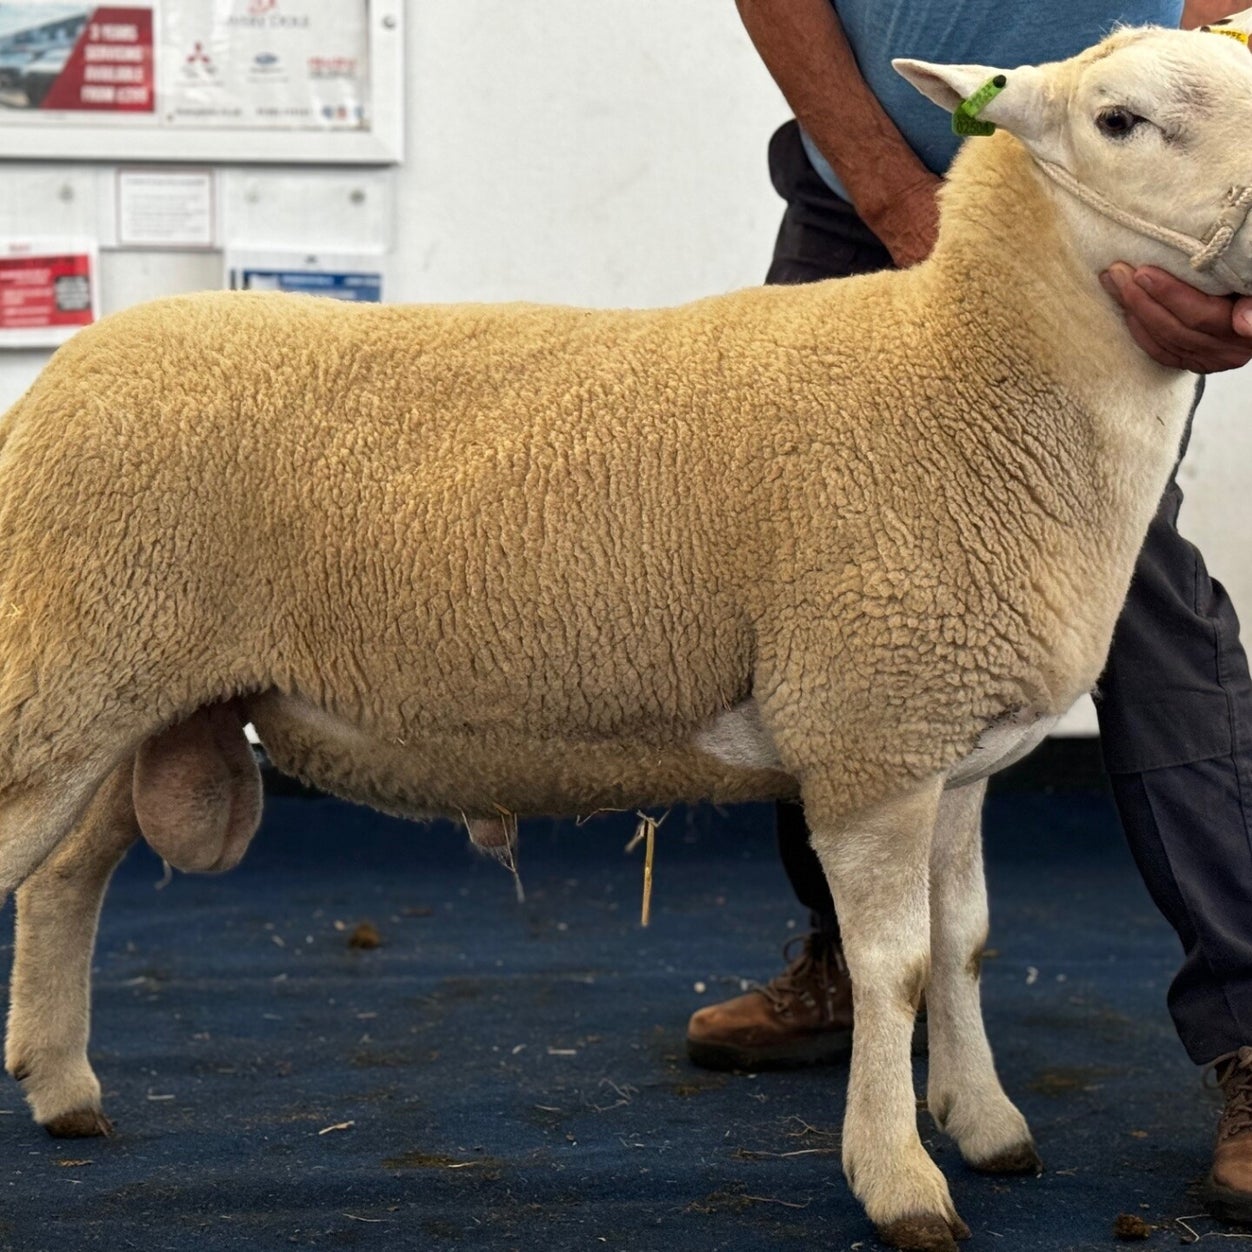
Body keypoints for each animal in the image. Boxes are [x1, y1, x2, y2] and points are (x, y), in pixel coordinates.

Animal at [3, 21, 1252, 1250]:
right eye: (1119, 120)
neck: (963, 373)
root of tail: (73, 366)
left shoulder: (954, 749)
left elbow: (965, 943)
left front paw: (984, 1122)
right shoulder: (872, 728)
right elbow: (893, 969)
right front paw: (900, 1179)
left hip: (143, 695)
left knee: (66, 877)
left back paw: (63, 1088)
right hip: (64, 670)